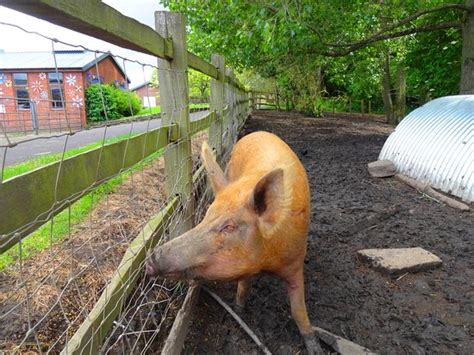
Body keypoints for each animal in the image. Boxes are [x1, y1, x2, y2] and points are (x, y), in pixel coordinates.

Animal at [145, 132, 322, 354]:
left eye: (229, 227)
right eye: (206, 216)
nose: (151, 257)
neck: (267, 261)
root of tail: (258, 133)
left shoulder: (296, 260)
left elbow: (298, 309)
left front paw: (315, 348)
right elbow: (244, 284)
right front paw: (238, 310)